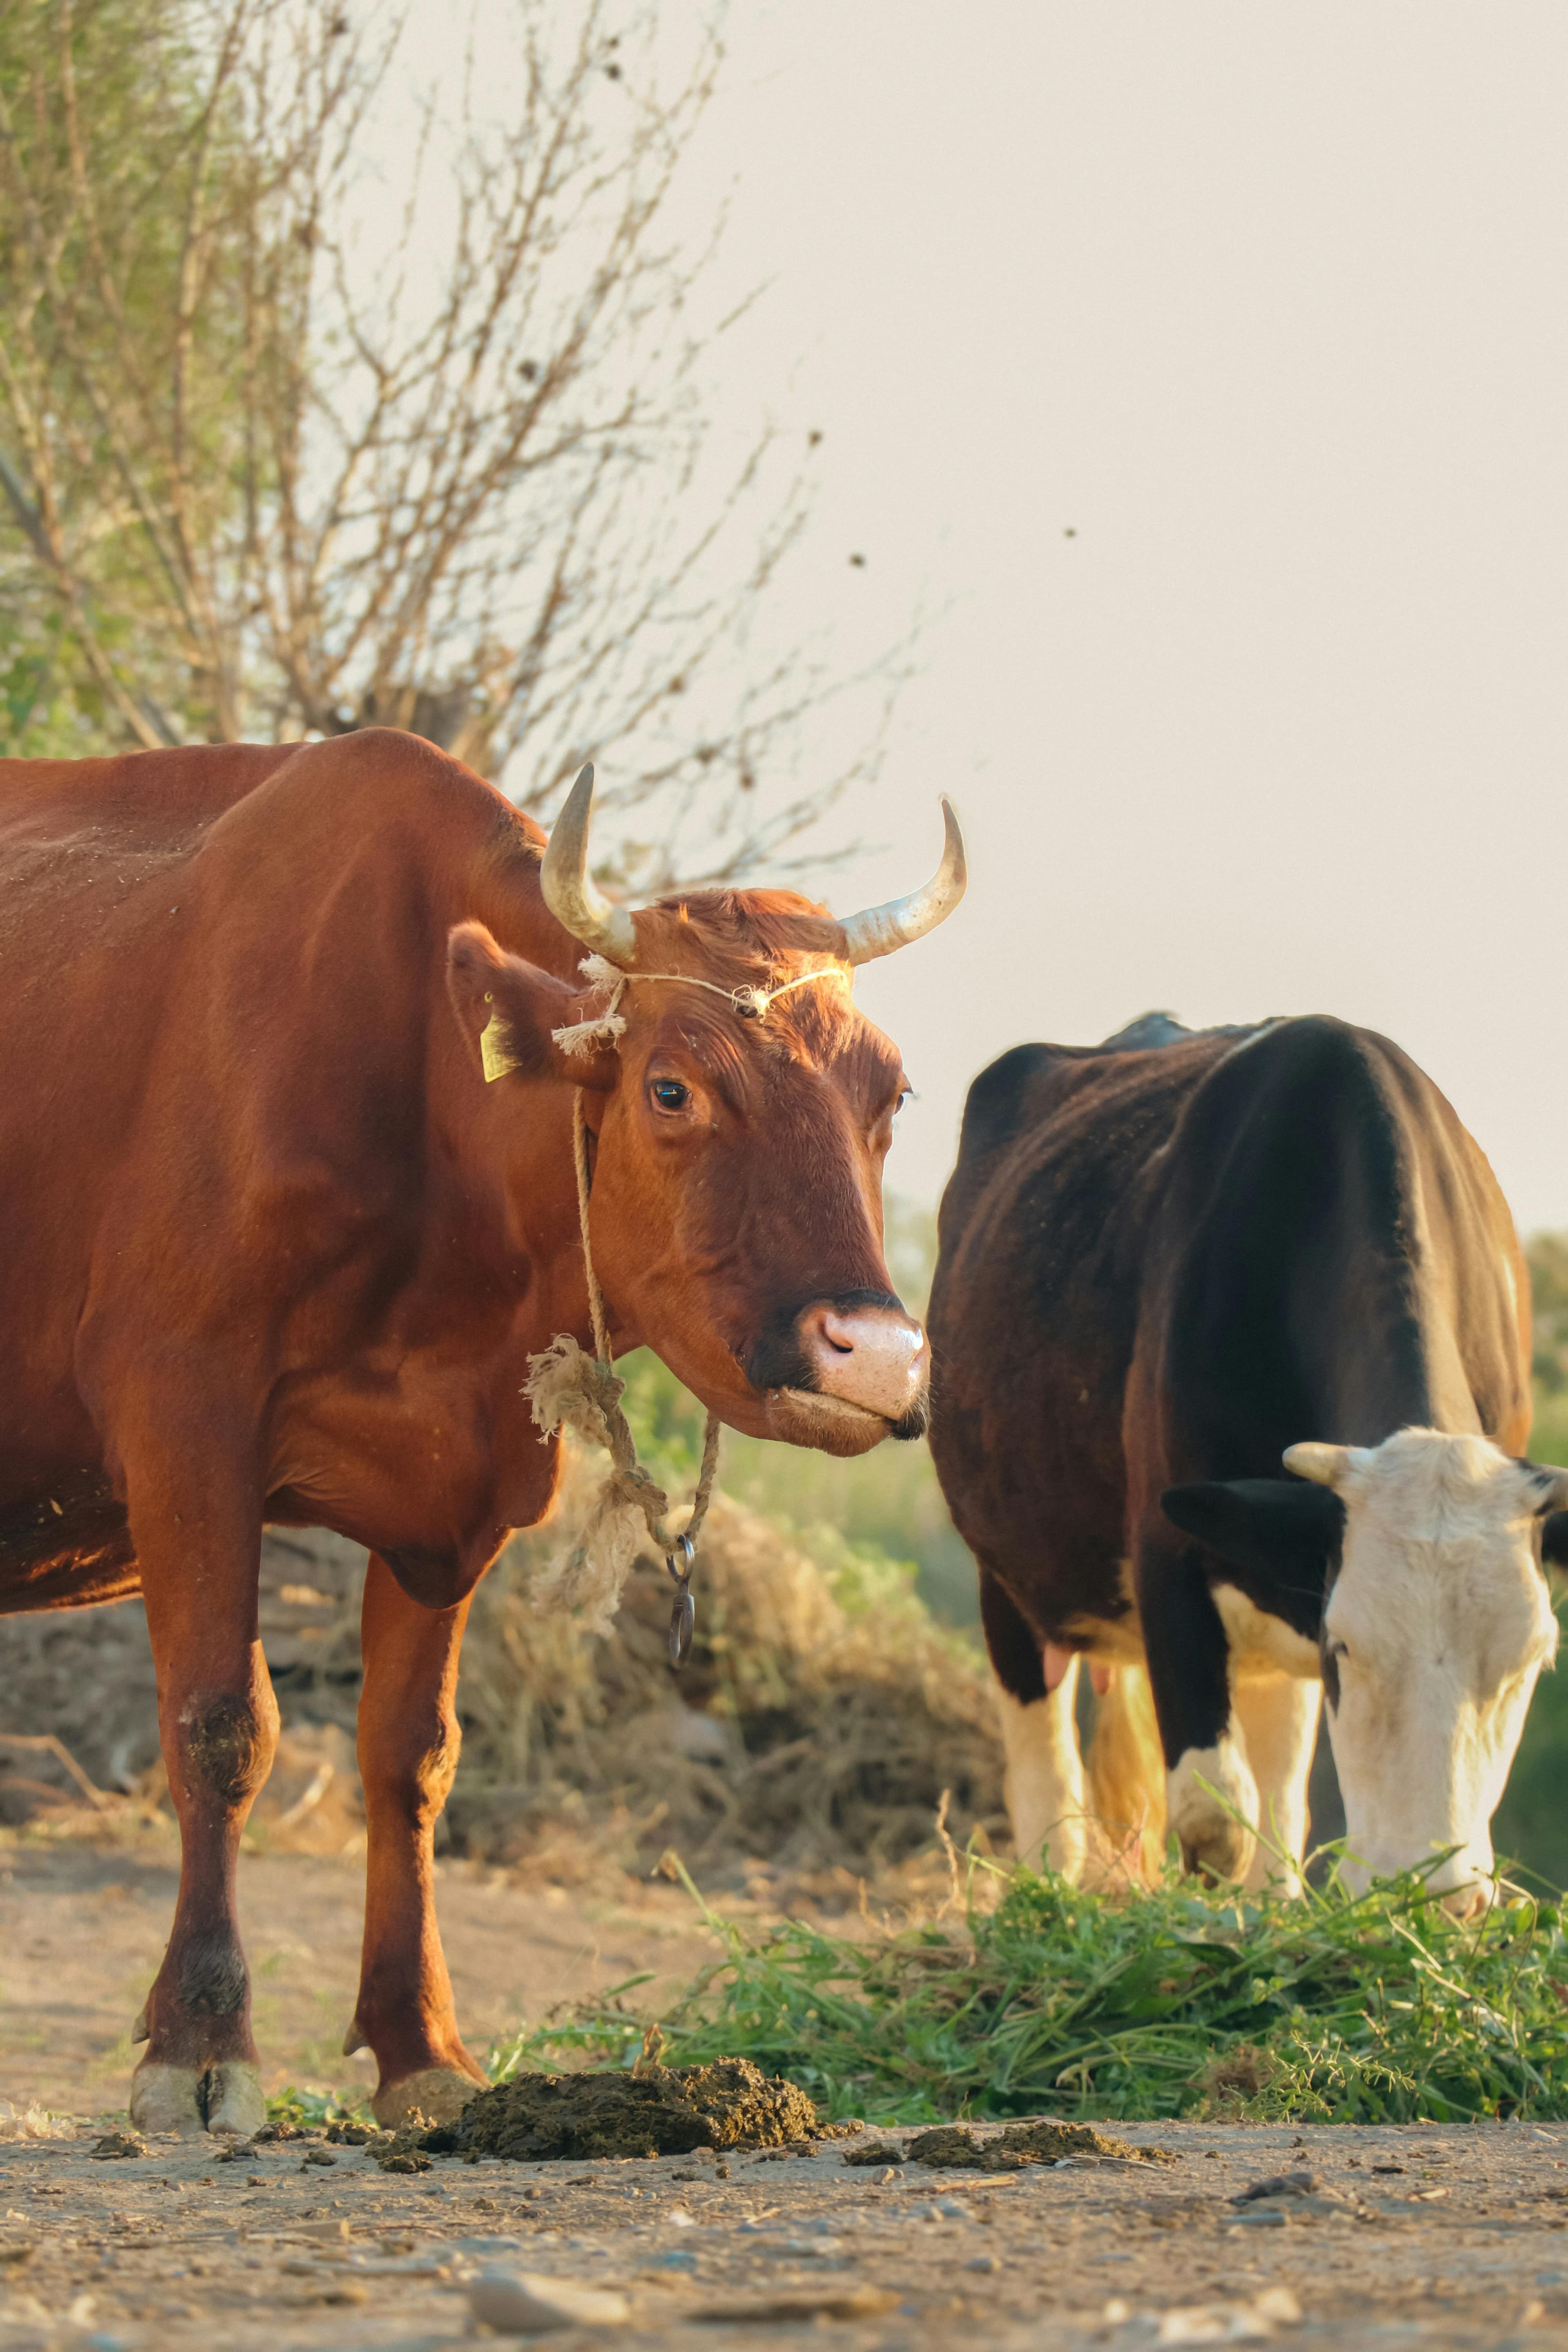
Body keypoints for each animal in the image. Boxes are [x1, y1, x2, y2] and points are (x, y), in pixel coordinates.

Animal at [0, 731, 964, 2133]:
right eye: (671, 1088)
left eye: (888, 1092)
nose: (877, 1354)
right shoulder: (185, 1425)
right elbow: (220, 1725)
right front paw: (201, 2038)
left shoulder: (457, 1497)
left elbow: (412, 1757)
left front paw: (420, 2045)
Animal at [928, 1012, 1568, 1912]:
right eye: (1346, 1648)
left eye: (1533, 1664)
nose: (1433, 1892)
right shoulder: (1168, 1555)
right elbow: (1213, 1821)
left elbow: (1271, 1815)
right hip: (1010, 1573)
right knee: (1046, 1783)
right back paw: (1047, 1902)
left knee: (1282, 1794)